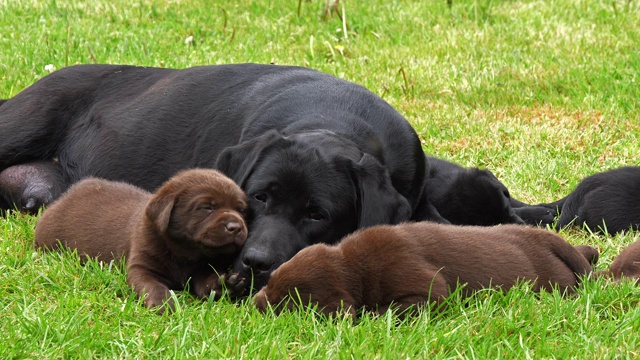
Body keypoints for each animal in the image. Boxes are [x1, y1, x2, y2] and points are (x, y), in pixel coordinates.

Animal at [32, 169, 249, 312]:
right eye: (207, 207)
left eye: (241, 210)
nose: (236, 227)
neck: (185, 253)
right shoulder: (141, 266)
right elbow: (153, 285)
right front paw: (164, 303)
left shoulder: (202, 267)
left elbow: (207, 281)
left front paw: (226, 285)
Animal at [254, 222, 596, 318]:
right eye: (270, 280)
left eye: (289, 301)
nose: (255, 302)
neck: (355, 264)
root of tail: (542, 237)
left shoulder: (425, 286)